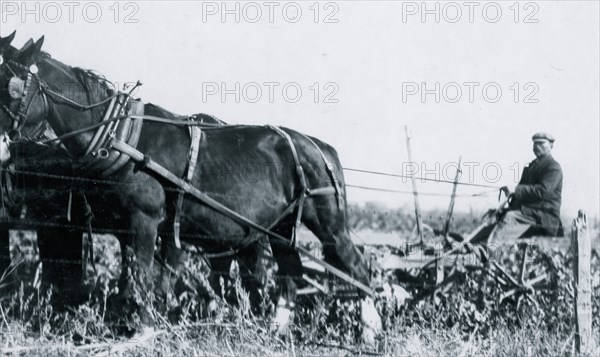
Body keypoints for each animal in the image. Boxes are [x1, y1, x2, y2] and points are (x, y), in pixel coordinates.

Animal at [0, 32, 382, 338]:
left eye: (10, 89)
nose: (3, 149)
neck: (120, 135)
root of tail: (320, 147)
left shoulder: (145, 219)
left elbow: (142, 276)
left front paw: (142, 329)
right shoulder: (127, 228)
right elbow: (133, 277)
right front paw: (127, 322)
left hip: (327, 220)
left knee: (356, 264)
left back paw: (369, 329)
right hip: (280, 226)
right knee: (291, 272)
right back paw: (276, 329)